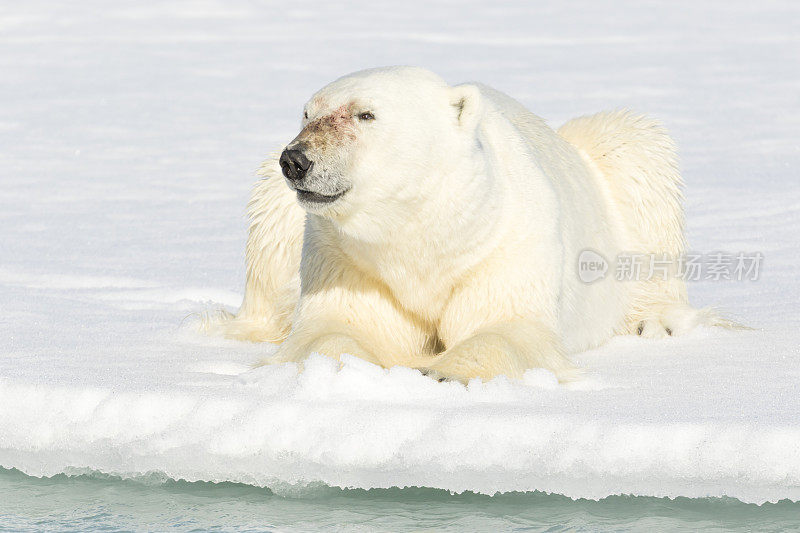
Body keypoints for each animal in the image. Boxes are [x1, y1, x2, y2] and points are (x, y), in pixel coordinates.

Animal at [209, 66, 736, 380]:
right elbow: (337, 325)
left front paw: (446, 371)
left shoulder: (506, 244)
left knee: (635, 153)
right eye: (308, 112)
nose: (296, 160)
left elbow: (504, 326)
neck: (428, 232)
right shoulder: (346, 259)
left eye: (366, 114)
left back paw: (657, 321)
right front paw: (329, 367)